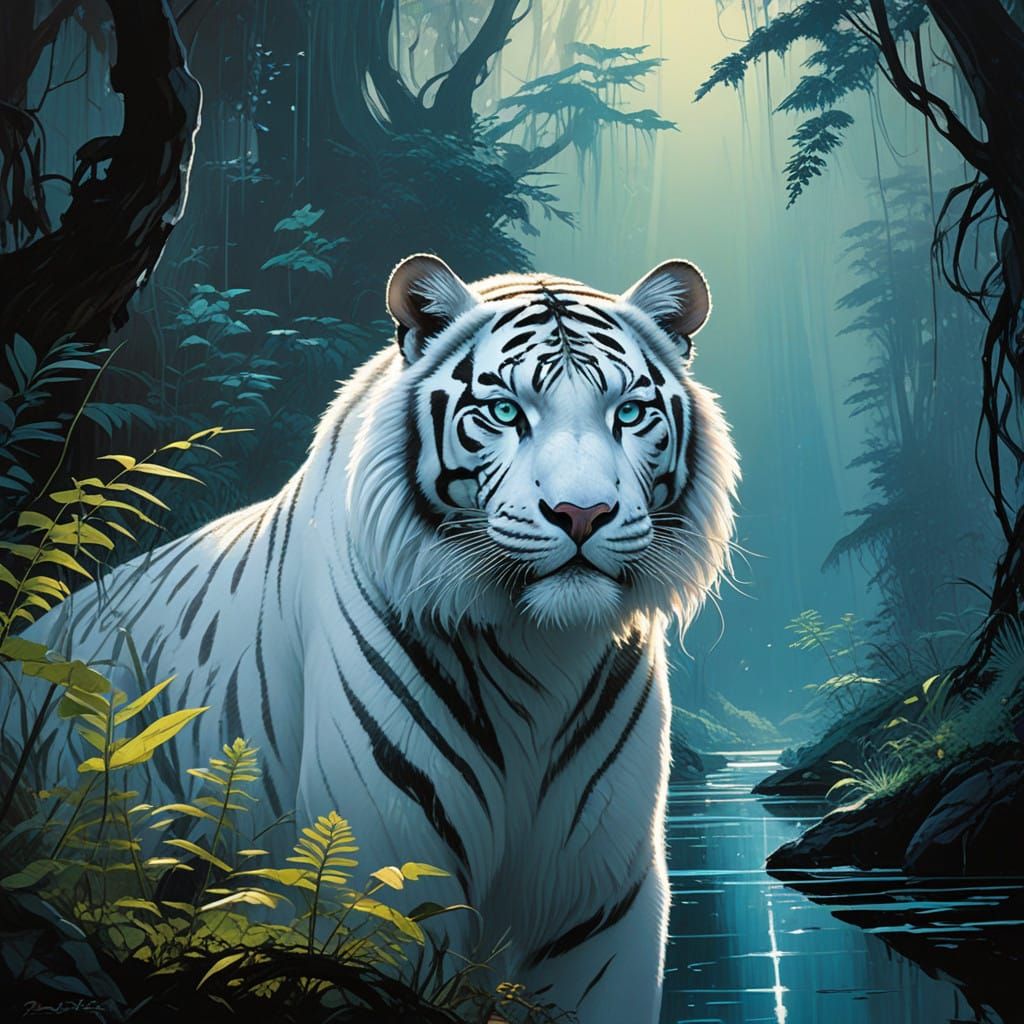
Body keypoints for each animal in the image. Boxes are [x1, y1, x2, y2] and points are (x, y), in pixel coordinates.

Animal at [17, 254, 738, 1023]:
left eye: (628, 412)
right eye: (505, 412)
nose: (582, 512)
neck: (542, 650)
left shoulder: (600, 900)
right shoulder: (387, 865)